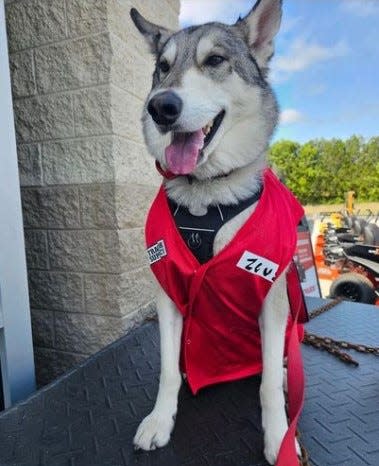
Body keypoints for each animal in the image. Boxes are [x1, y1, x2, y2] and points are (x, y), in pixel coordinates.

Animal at [131, 1, 306, 464]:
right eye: (163, 68)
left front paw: (278, 437)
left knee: (276, 365)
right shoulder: (169, 293)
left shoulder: (271, 298)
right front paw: (160, 420)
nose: (161, 107)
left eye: (214, 61)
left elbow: (267, 385)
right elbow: (168, 370)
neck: (206, 195)